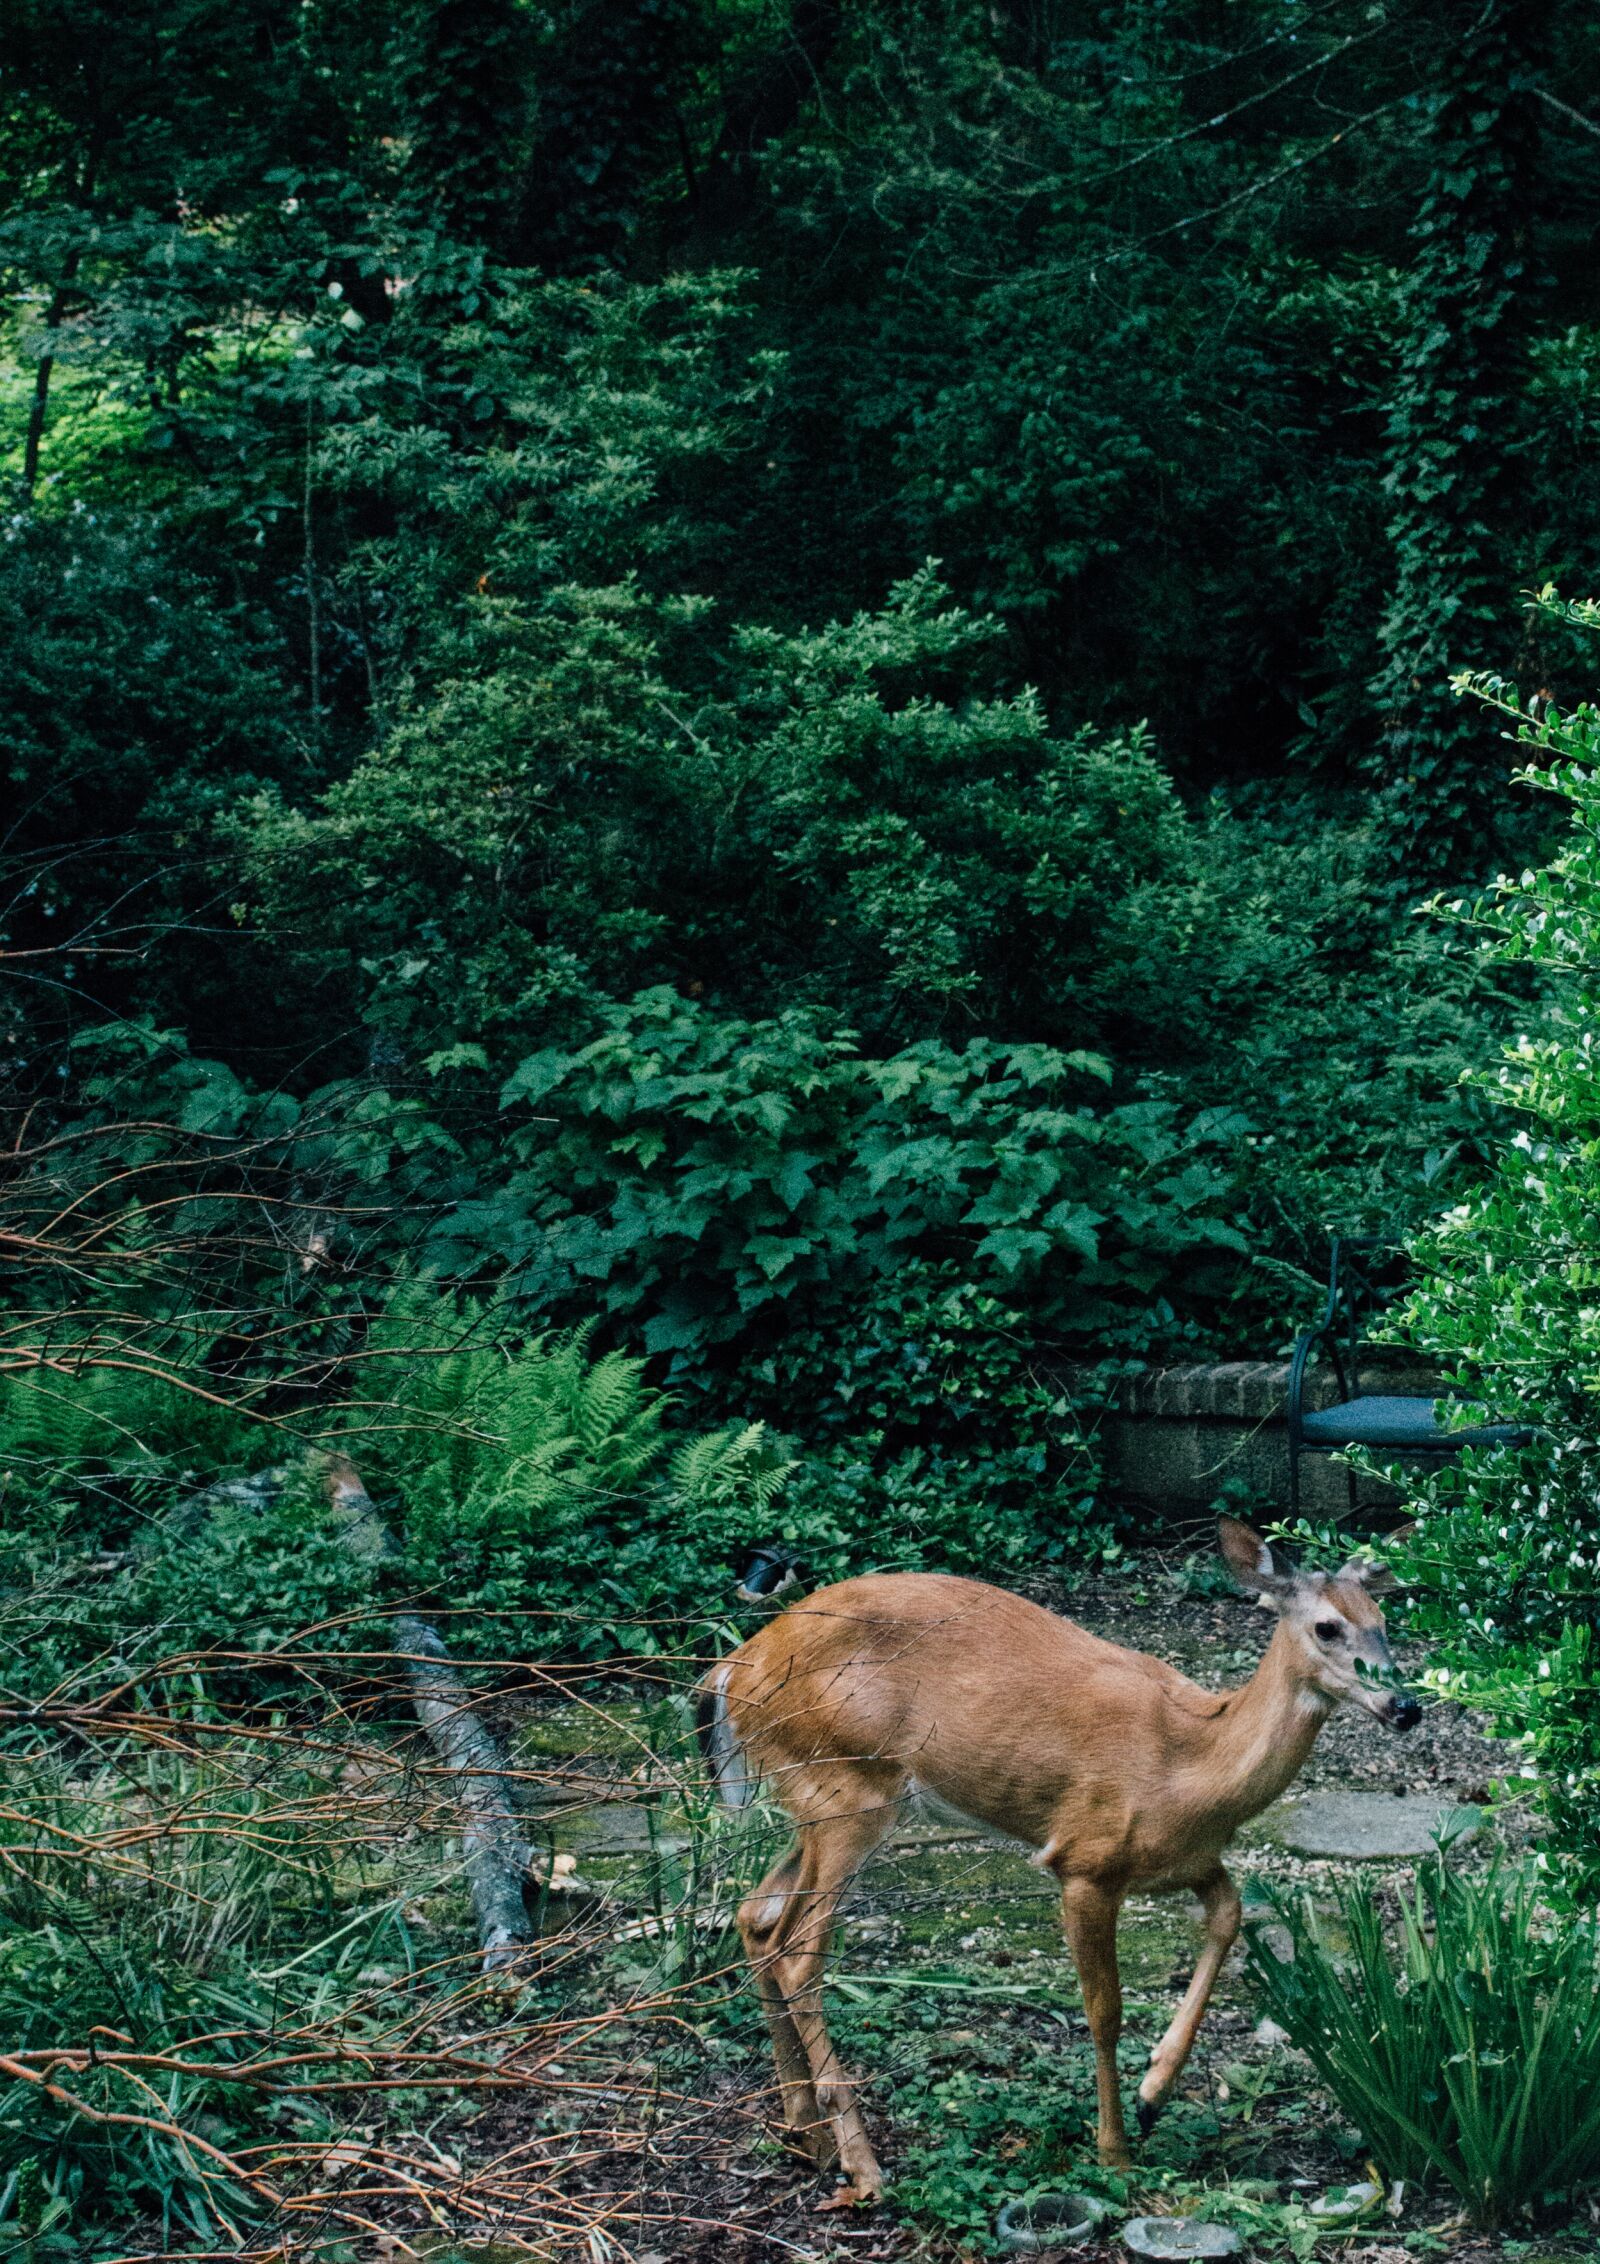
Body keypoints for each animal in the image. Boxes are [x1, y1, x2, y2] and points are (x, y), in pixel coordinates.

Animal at [695, 1516, 1419, 2207]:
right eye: (1327, 1626)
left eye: (1385, 1624)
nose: (1405, 1706)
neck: (1190, 1765)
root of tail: (734, 1667)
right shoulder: (1085, 1859)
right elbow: (1105, 2010)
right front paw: (1115, 2149)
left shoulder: (1184, 1860)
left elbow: (1230, 1914)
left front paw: (1154, 2092)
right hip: (848, 1787)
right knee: (798, 1953)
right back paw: (863, 2165)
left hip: (817, 1801)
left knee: (757, 1916)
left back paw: (806, 2134)